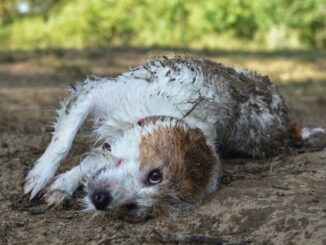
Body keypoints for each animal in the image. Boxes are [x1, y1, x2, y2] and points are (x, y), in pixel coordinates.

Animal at [23, 56, 324, 221]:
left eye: (136, 206)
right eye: (155, 174)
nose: (101, 200)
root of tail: (288, 127)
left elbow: (92, 161)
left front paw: (62, 185)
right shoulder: (95, 92)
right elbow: (63, 142)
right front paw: (41, 175)